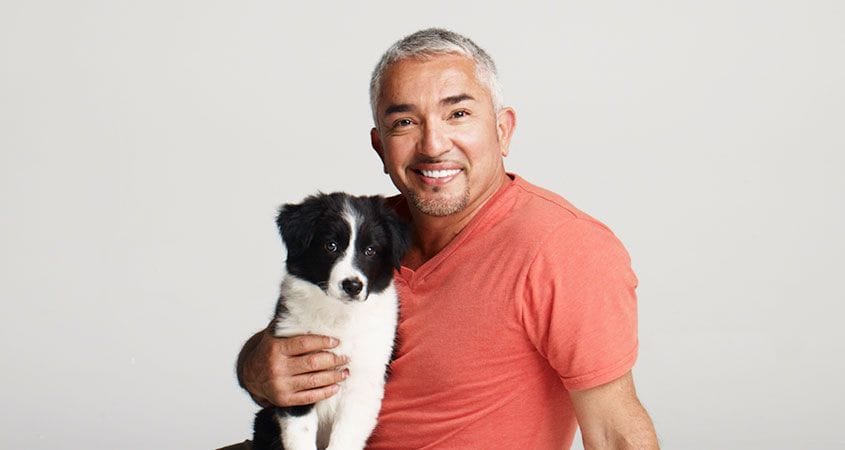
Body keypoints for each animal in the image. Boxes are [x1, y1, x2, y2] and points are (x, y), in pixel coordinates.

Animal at [251, 192, 408, 450]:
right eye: (330, 246)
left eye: (371, 250)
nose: (353, 286)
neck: (338, 314)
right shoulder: (296, 379)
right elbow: (300, 435)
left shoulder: (364, 380)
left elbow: (346, 437)